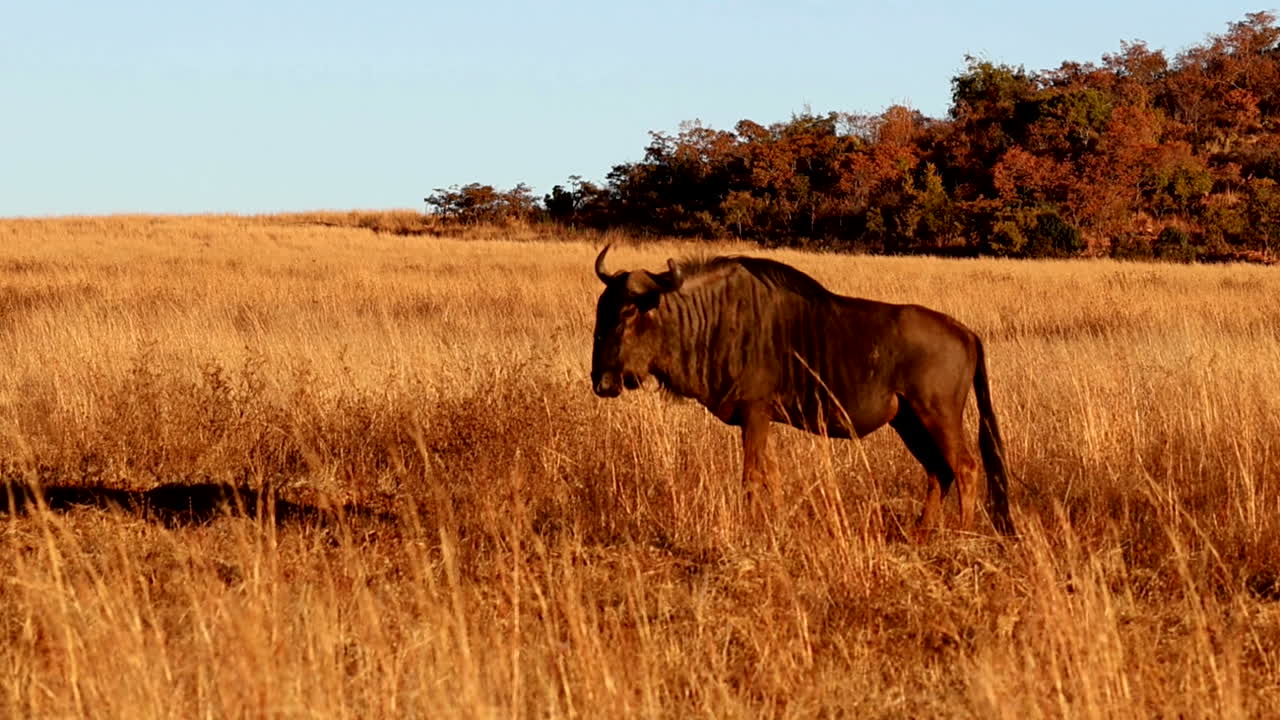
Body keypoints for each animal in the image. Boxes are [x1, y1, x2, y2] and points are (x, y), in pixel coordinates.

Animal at [589, 244, 1015, 539]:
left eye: (629, 311)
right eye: (601, 310)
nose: (603, 382)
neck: (715, 318)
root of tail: (965, 332)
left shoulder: (755, 412)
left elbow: (751, 477)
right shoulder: (760, 420)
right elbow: (772, 476)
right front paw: (777, 523)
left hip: (937, 416)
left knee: (965, 467)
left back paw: (961, 532)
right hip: (909, 422)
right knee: (938, 472)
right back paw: (921, 535)